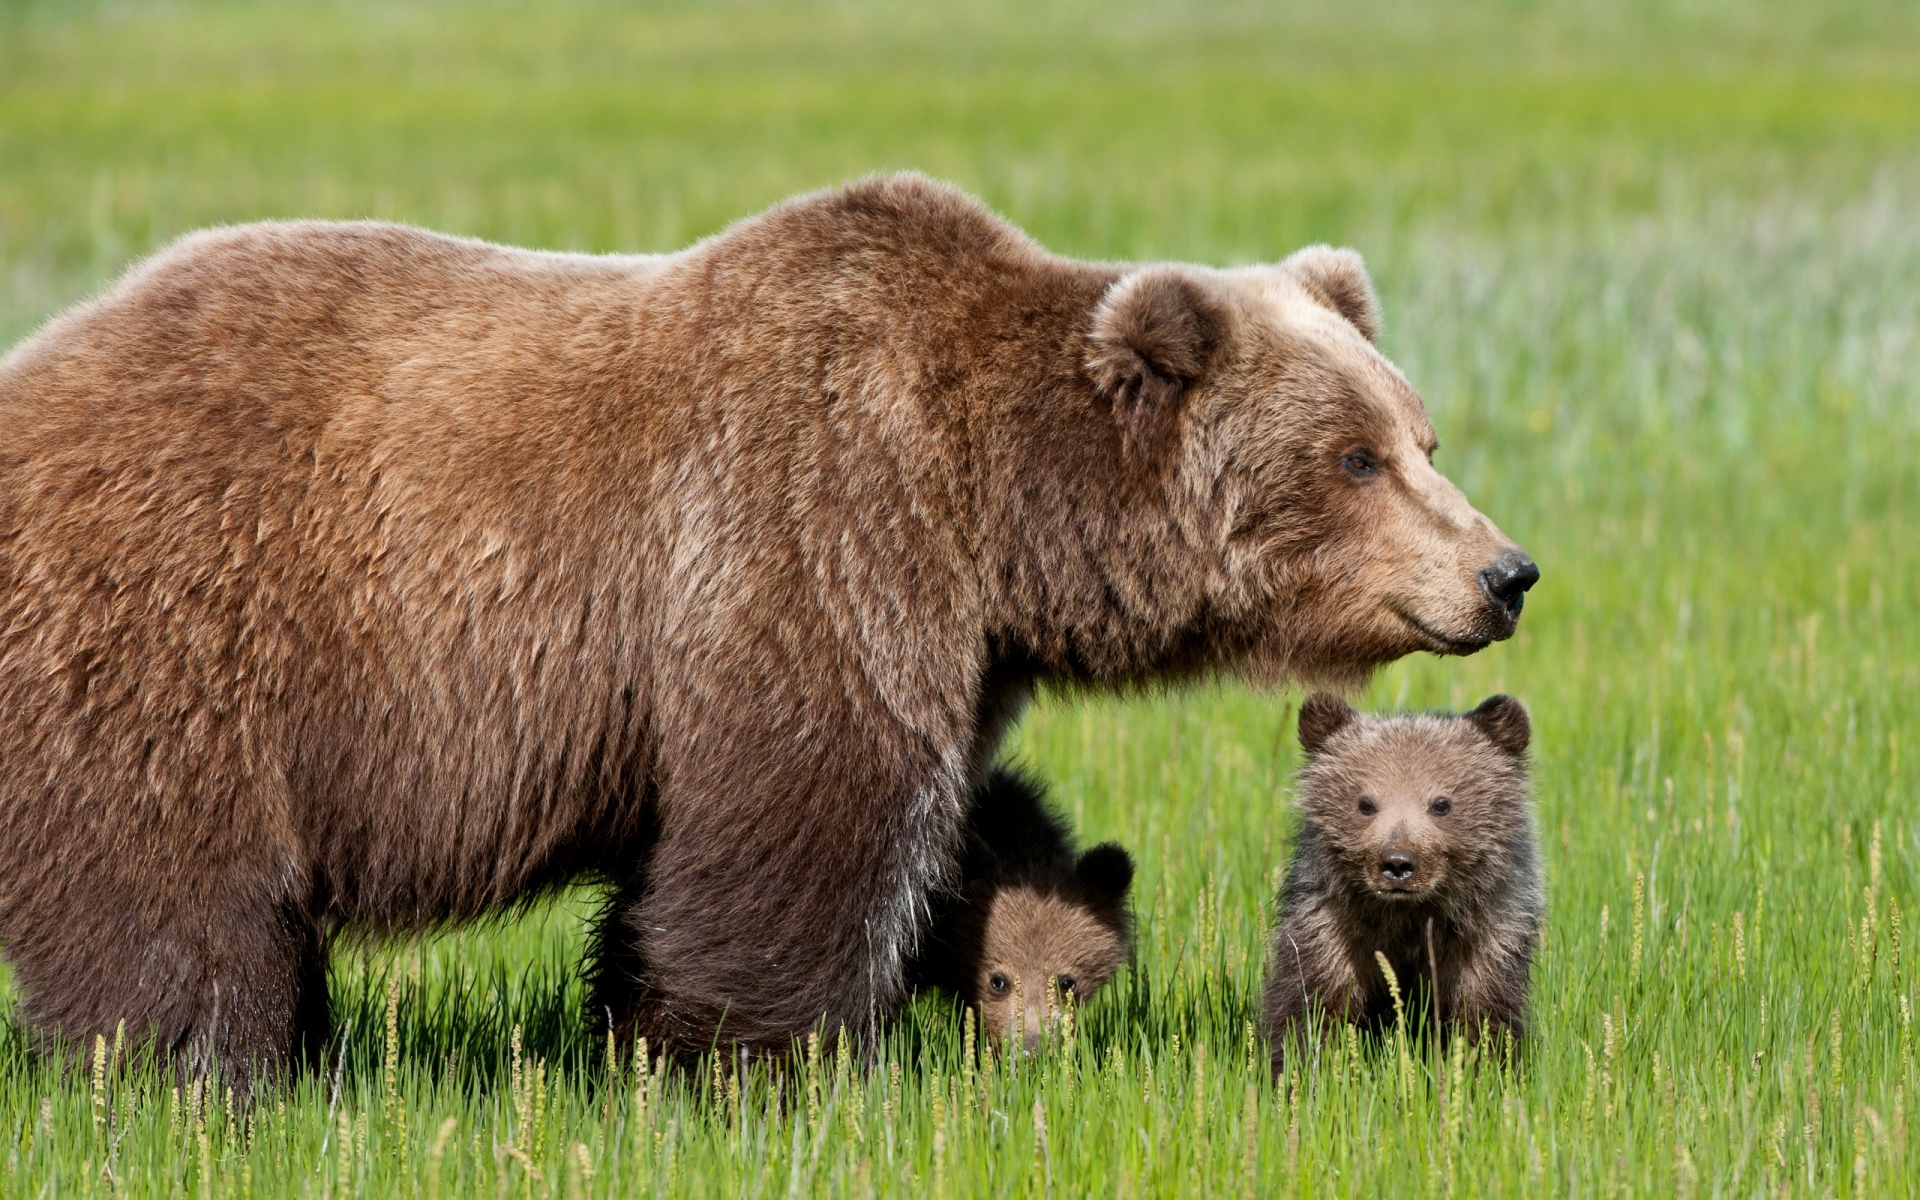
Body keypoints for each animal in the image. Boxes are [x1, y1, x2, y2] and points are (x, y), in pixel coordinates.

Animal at [1262, 692, 1542, 1067]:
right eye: (1365, 802)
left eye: (1441, 803)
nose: (1397, 863)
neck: (1407, 917)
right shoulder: (1330, 929)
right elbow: (1311, 1007)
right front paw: (1299, 1066)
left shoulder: (1487, 935)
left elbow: (1483, 1015)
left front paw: (1482, 1065)